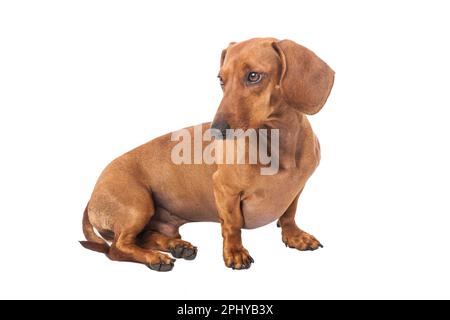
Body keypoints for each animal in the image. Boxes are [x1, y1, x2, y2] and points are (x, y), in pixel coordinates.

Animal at [80, 38, 334, 272]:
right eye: (221, 79)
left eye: (253, 76)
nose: (216, 131)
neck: (279, 145)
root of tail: (93, 195)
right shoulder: (224, 189)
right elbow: (232, 225)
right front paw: (235, 252)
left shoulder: (296, 190)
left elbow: (289, 213)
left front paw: (295, 236)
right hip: (138, 205)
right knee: (116, 249)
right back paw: (155, 258)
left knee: (145, 238)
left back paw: (176, 246)